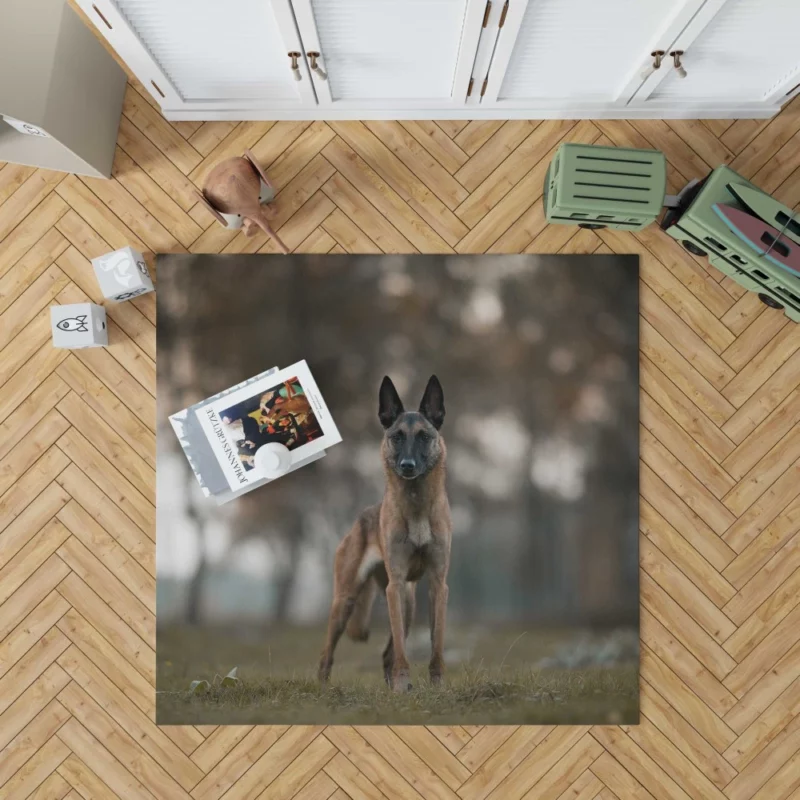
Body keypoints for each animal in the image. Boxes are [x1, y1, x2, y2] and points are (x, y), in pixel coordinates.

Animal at [322, 376, 454, 692]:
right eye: (397, 437)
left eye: (423, 436)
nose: (407, 466)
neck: (416, 507)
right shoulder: (395, 586)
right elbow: (403, 654)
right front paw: (402, 684)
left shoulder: (437, 584)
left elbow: (436, 644)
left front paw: (436, 684)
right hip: (346, 601)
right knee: (326, 654)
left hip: (409, 604)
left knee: (387, 654)